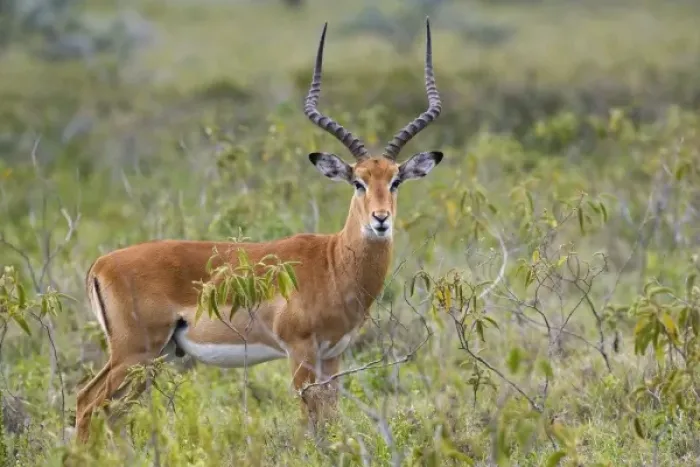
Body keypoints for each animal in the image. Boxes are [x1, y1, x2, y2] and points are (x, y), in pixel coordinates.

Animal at [75, 18, 443, 442]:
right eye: (358, 182)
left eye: (396, 180)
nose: (380, 219)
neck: (334, 263)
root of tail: (101, 264)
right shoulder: (300, 352)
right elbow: (310, 422)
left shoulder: (333, 355)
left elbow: (331, 418)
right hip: (135, 352)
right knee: (87, 403)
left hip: (151, 357)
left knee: (109, 412)